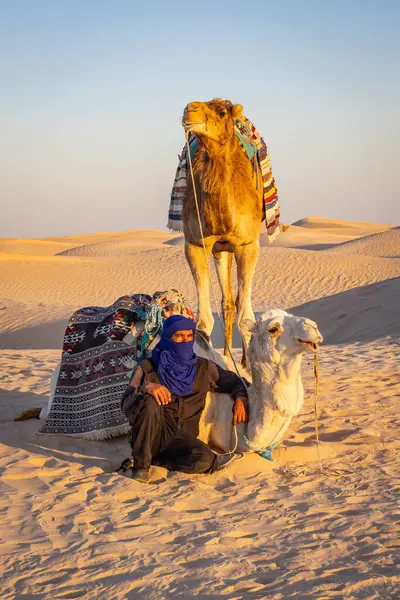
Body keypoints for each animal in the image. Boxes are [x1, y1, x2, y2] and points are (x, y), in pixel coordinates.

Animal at [182, 99, 264, 364]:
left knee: (234, 302)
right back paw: (228, 356)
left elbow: (246, 319)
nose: (190, 109)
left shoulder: (248, 245)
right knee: (227, 301)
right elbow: (203, 322)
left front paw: (250, 368)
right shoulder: (195, 245)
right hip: (220, 250)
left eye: (221, 112)